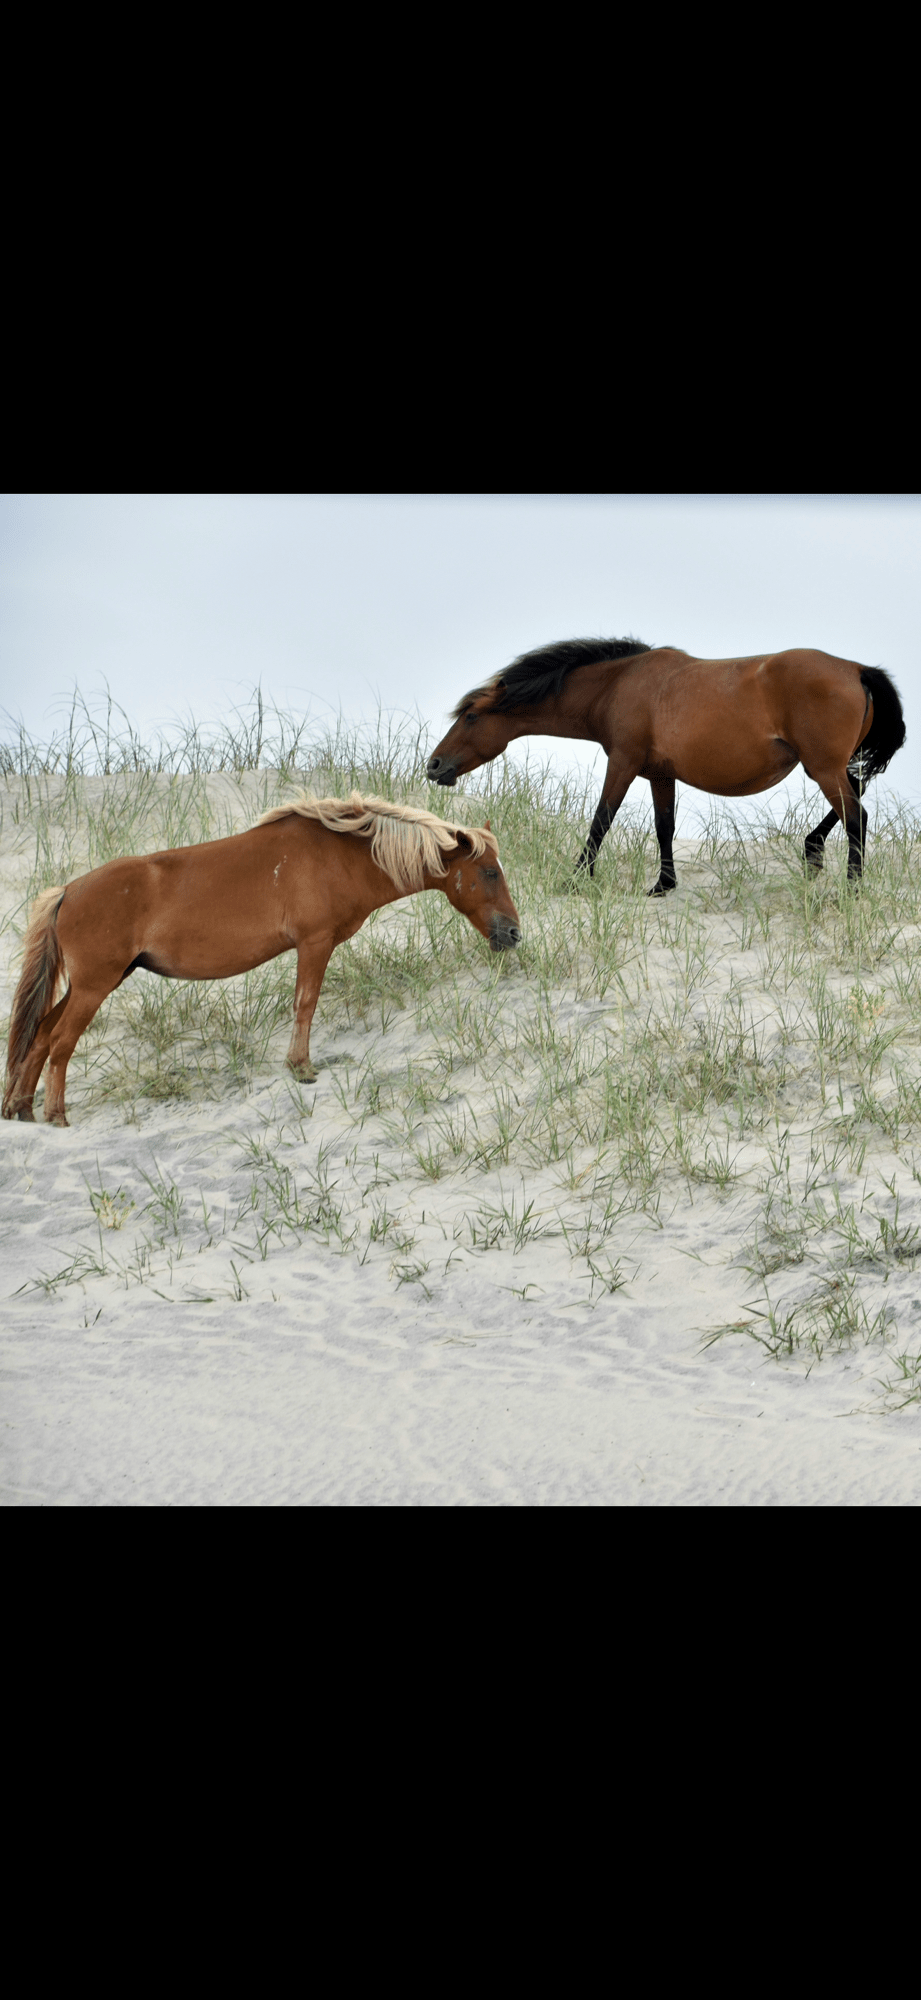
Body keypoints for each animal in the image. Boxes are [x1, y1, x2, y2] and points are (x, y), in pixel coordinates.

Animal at [2, 792, 521, 1127]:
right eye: (489, 872)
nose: (514, 934)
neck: (340, 855)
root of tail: (68, 891)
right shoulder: (314, 944)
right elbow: (306, 1004)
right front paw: (302, 1068)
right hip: (94, 986)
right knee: (61, 1042)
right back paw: (55, 1114)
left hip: (90, 985)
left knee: (41, 1035)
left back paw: (22, 1108)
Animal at [426, 638, 906, 893]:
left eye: (471, 717)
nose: (433, 766)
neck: (618, 684)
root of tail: (856, 669)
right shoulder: (660, 774)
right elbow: (664, 827)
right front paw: (663, 885)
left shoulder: (622, 763)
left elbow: (601, 820)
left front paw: (576, 879)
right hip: (826, 767)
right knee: (854, 801)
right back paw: (812, 851)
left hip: (823, 768)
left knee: (857, 816)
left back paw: (851, 886)